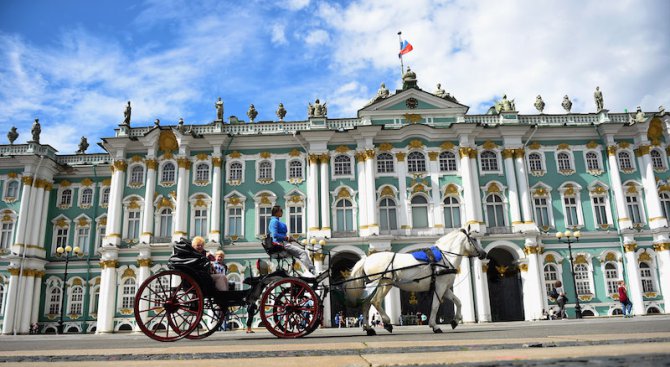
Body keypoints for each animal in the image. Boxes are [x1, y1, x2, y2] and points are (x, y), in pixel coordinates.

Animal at [344, 229, 486, 334]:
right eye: (473, 239)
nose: (483, 254)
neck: (445, 258)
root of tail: (366, 259)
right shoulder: (439, 286)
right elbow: (435, 306)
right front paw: (435, 326)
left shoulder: (445, 288)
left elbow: (458, 302)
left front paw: (455, 321)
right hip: (384, 284)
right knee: (376, 301)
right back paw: (388, 323)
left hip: (372, 286)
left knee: (366, 304)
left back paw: (369, 329)